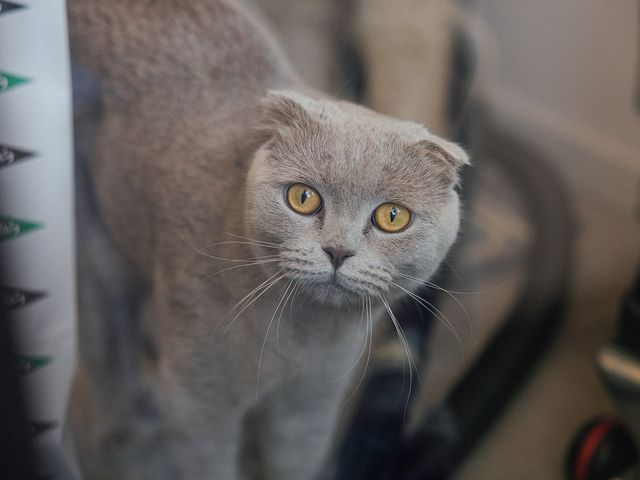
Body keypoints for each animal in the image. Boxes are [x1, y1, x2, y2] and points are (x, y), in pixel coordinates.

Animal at [67, 0, 468, 480]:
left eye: (392, 217)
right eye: (303, 198)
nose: (337, 250)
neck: (299, 343)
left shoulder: (311, 405)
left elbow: (295, 461)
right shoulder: (199, 404)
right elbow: (208, 462)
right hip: (98, 249)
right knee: (105, 346)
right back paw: (122, 430)